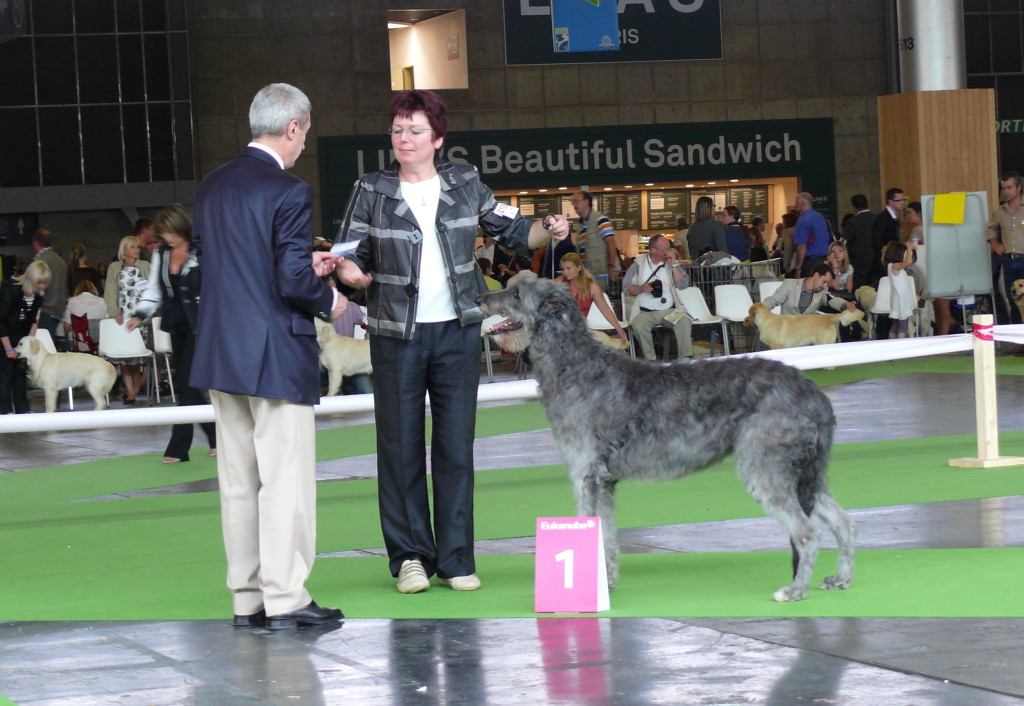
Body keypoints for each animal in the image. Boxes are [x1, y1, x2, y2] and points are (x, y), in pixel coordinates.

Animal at [479, 274, 856, 598]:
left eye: (516, 293)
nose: (480, 299)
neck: (576, 364)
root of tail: (813, 392)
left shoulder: (584, 474)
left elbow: (588, 527)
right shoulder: (604, 481)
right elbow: (607, 534)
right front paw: (607, 581)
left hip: (765, 465)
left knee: (807, 533)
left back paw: (795, 590)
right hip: (805, 470)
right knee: (844, 523)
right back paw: (841, 579)